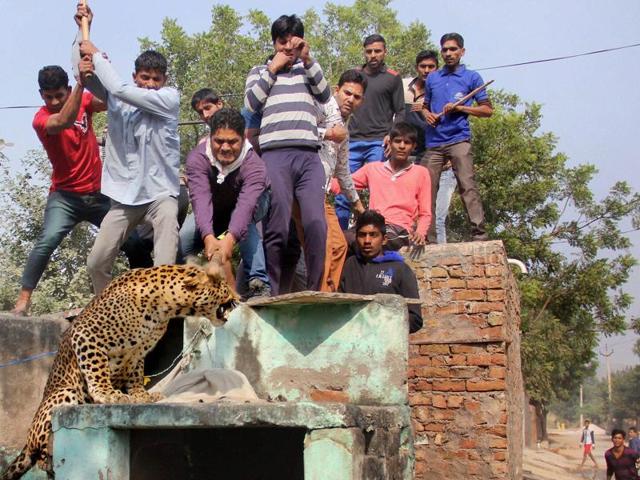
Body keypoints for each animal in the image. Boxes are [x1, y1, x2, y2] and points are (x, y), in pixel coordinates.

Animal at [1, 262, 238, 480]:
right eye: (224, 286)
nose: (239, 298)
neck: (166, 307)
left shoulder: (137, 352)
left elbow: (135, 374)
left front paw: (141, 395)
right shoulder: (86, 334)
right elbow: (97, 369)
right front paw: (107, 394)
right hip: (63, 394)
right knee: (39, 454)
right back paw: (49, 457)